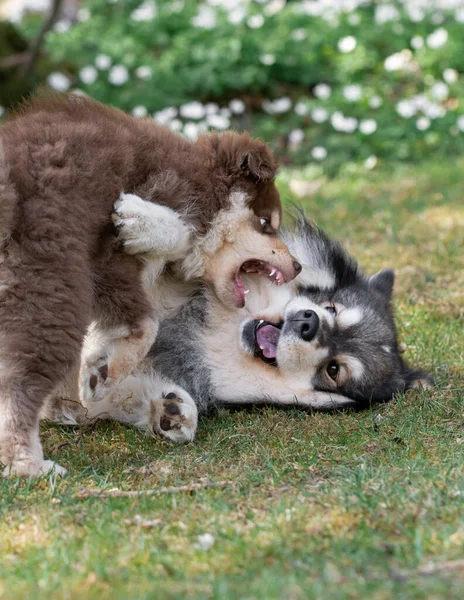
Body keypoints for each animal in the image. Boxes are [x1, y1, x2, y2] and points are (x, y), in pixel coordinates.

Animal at [0, 94, 300, 478]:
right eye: (266, 223)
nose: (298, 266)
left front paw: (78, 395)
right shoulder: (110, 253)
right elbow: (146, 319)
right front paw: (105, 371)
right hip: (53, 284)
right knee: (18, 383)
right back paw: (27, 463)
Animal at [44, 204, 432, 442]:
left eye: (334, 370)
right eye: (331, 307)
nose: (308, 323)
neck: (219, 335)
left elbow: (112, 395)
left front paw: (168, 411)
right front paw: (145, 221)